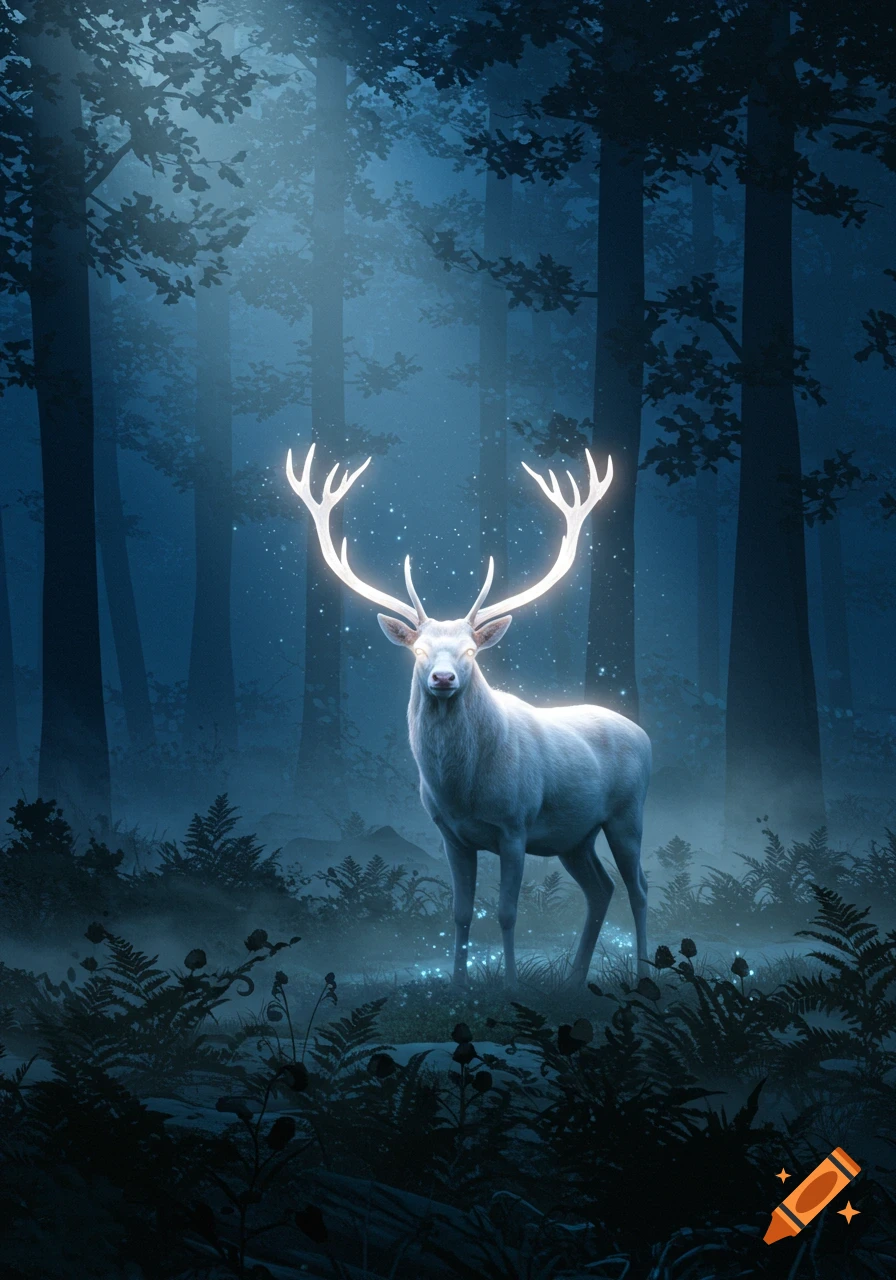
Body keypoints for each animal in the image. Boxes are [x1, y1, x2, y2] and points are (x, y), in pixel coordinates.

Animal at [286, 443, 651, 987]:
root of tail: (645, 733)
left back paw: (646, 972)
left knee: (639, 888)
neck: (464, 791)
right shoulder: (450, 834)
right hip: (574, 836)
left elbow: (506, 912)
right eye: (418, 651)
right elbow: (460, 912)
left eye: (471, 653)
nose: (442, 679)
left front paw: (511, 984)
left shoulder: (517, 825)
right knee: (600, 889)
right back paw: (573, 979)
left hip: (628, 814)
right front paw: (458, 986)